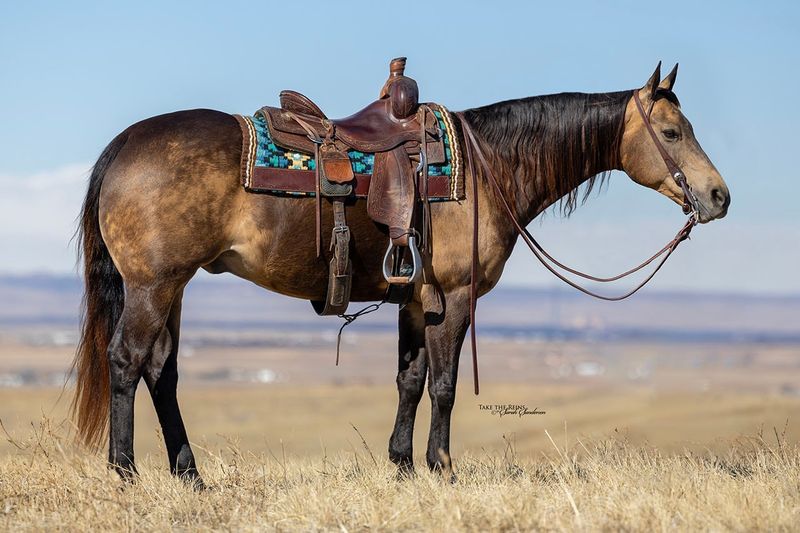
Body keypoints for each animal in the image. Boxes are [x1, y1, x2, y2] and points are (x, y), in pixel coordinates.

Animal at [70, 60, 732, 484]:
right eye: (672, 132)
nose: (718, 196)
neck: (489, 167)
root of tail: (124, 145)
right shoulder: (457, 297)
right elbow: (444, 385)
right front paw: (443, 469)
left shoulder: (417, 300)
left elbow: (410, 381)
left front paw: (404, 466)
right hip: (153, 286)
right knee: (127, 361)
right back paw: (125, 472)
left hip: (173, 288)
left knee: (161, 371)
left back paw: (190, 475)